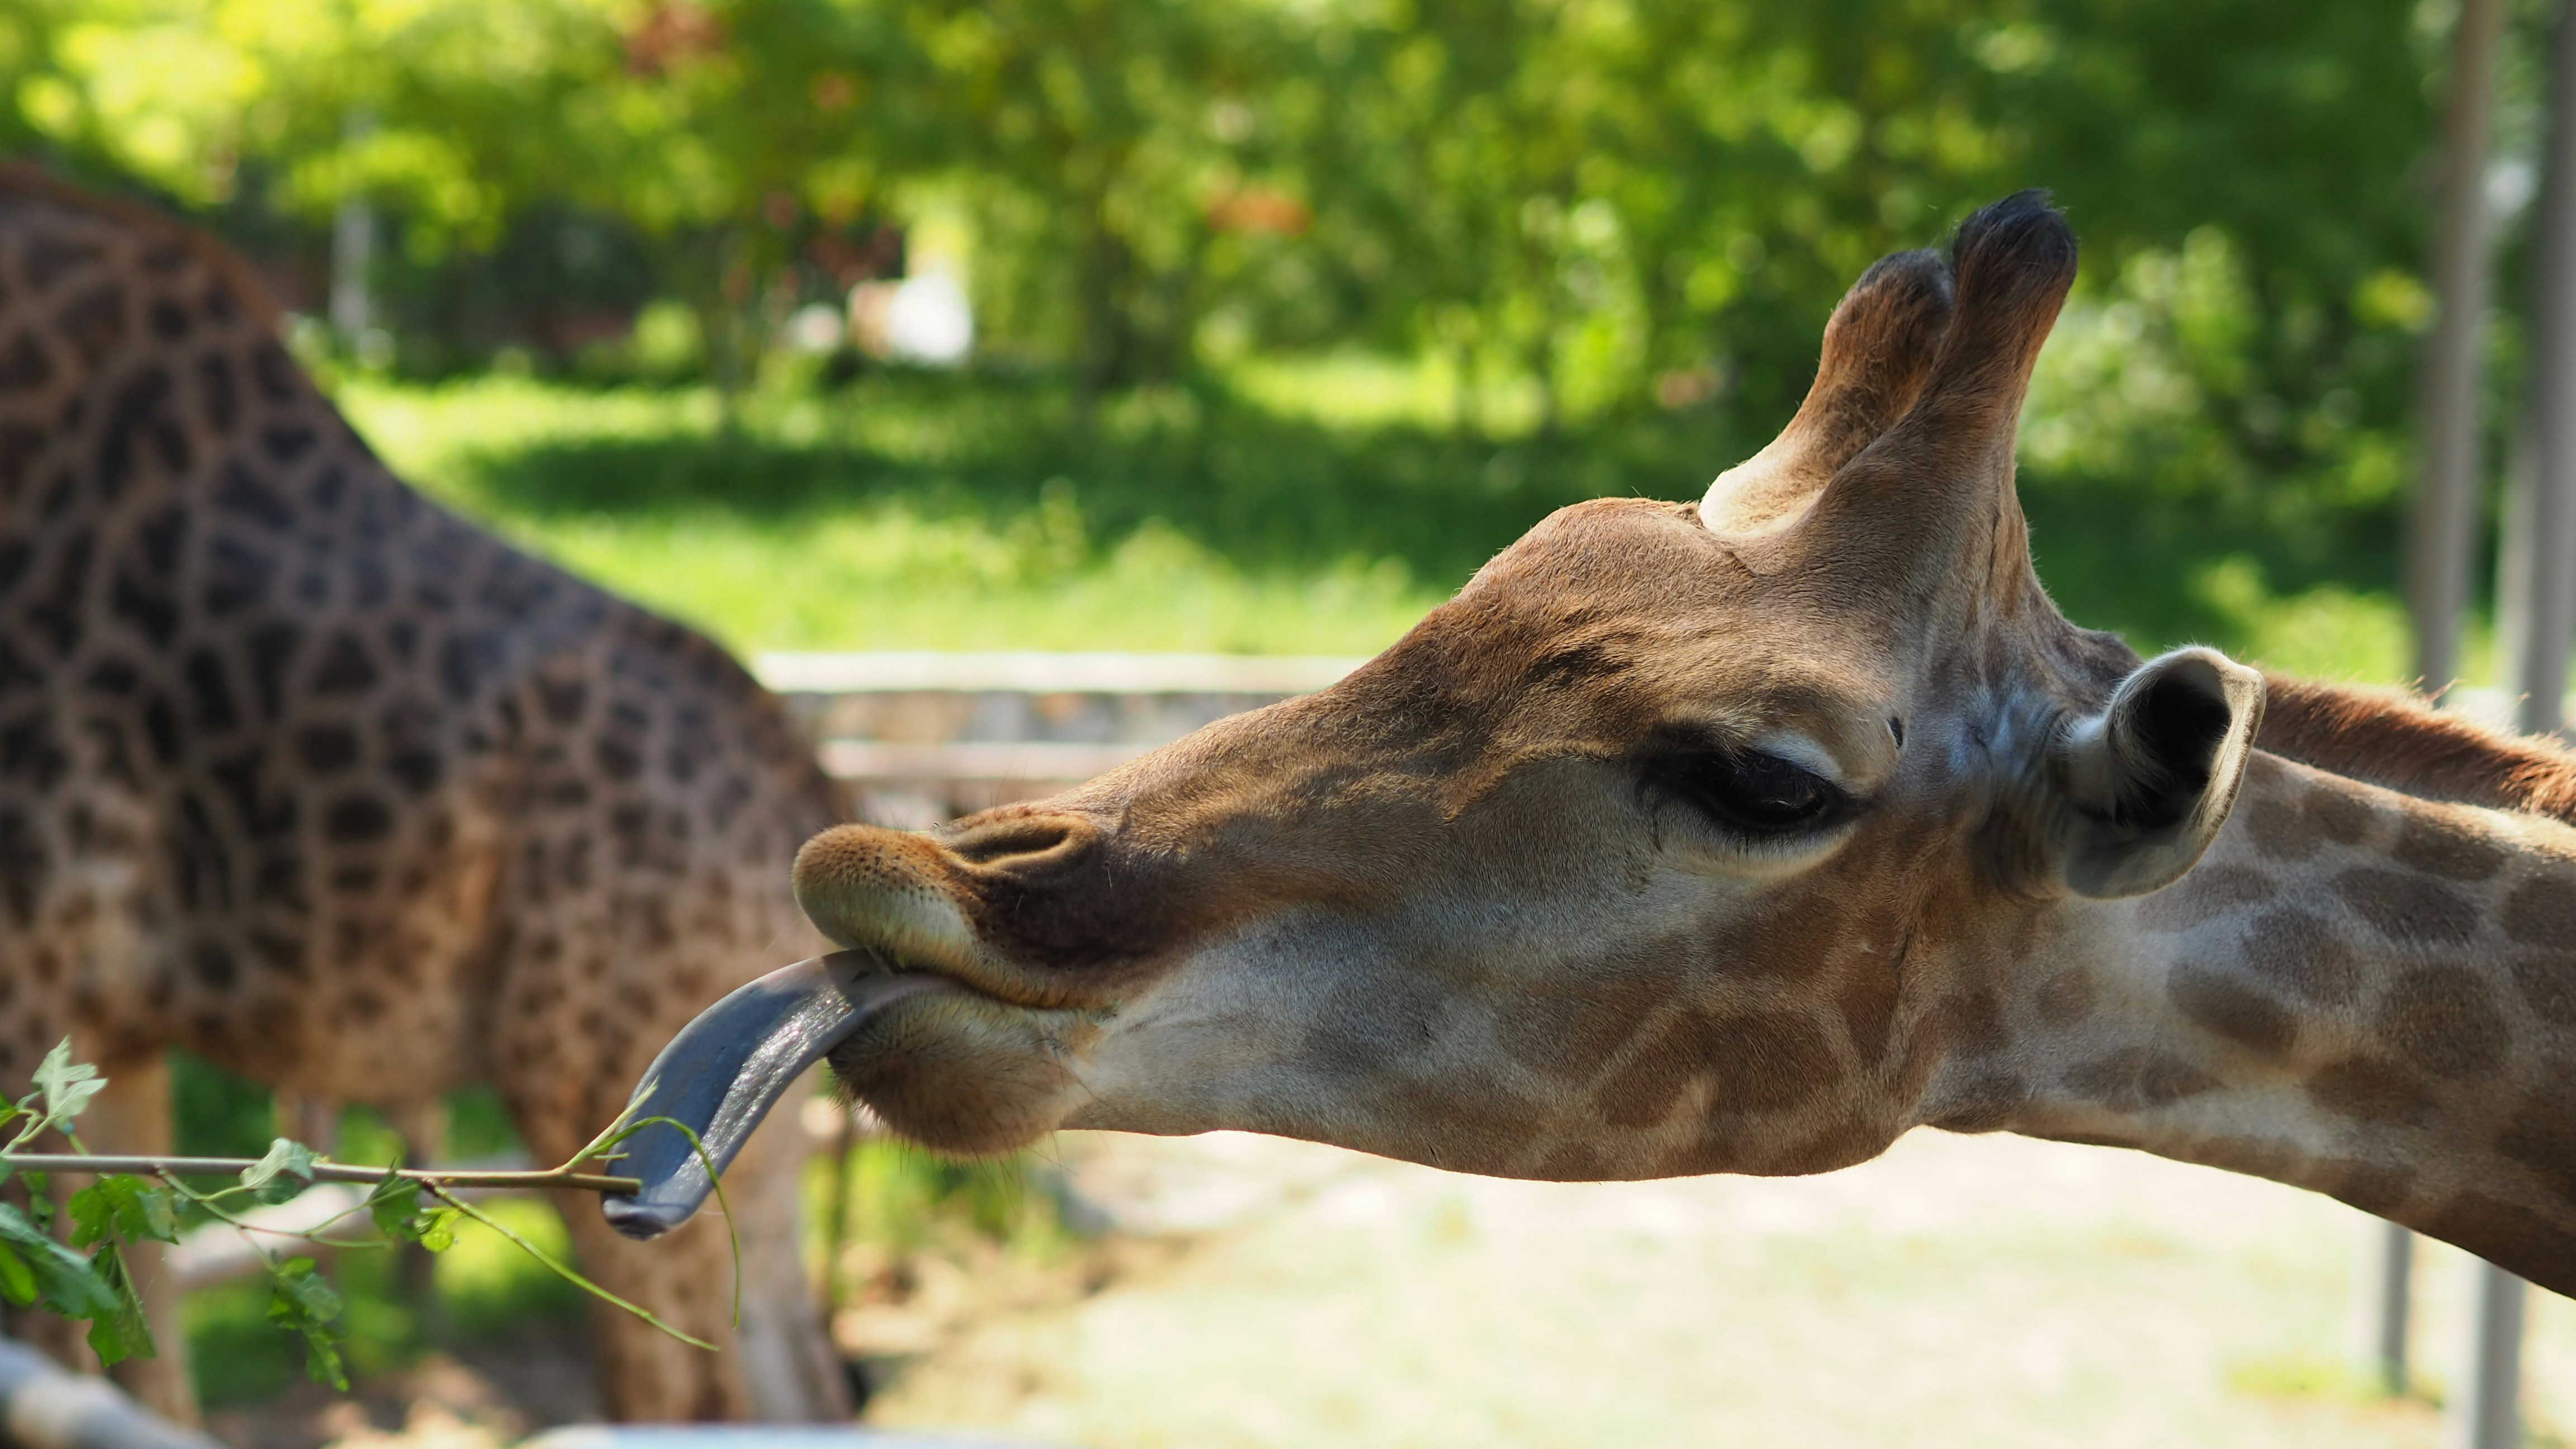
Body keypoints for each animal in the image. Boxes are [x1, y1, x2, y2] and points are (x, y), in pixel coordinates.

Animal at [0, 166, 852, 1421]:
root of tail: (814, 800)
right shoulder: (110, 1034)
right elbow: (137, 1360)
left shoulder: (29, 991)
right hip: (745, 1137)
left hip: (608, 1108)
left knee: (684, 1389)